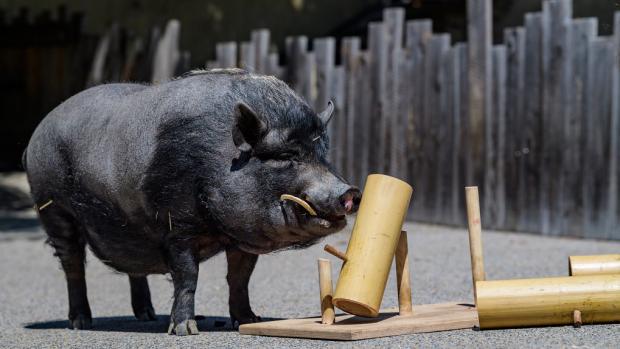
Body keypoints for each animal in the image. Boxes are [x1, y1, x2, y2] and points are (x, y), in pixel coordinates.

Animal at [25, 68, 364, 334]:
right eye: (285, 156)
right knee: (72, 265)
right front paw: (185, 330)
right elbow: (188, 275)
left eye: (323, 154)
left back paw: (147, 317)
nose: (349, 192)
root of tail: (38, 131)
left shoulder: (240, 238)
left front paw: (248, 320)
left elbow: (240, 278)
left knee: (134, 267)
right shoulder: (176, 226)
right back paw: (81, 322)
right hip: (53, 208)